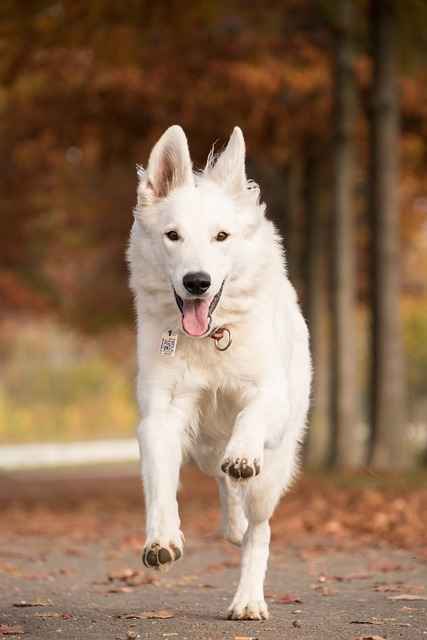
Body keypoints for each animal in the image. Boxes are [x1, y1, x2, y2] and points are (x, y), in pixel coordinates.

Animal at [127, 125, 310, 620]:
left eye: (221, 236)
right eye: (172, 236)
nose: (197, 282)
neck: (210, 337)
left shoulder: (269, 397)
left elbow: (251, 416)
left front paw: (243, 451)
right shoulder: (160, 417)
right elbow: (159, 486)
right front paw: (162, 539)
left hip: (272, 474)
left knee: (258, 530)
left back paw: (248, 599)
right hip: (204, 451)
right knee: (226, 490)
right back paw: (231, 522)